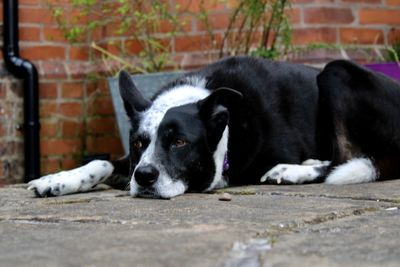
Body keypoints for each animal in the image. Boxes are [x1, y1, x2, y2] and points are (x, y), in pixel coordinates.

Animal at [27, 56, 400, 199]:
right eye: (138, 143)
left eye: (179, 142)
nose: (144, 178)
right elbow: (101, 162)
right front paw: (56, 180)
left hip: (336, 70)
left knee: (344, 158)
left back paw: (294, 171)